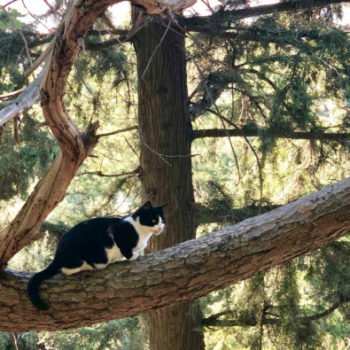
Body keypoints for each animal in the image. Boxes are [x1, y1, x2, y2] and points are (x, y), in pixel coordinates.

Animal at [26, 201, 166, 310]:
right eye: (153, 220)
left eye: (162, 221)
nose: (160, 228)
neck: (141, 232)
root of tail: (58, 252)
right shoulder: (116, 231)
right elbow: (126, 250)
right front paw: (134, 256)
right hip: (78, 256)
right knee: (66, 269)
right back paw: (91, 266)